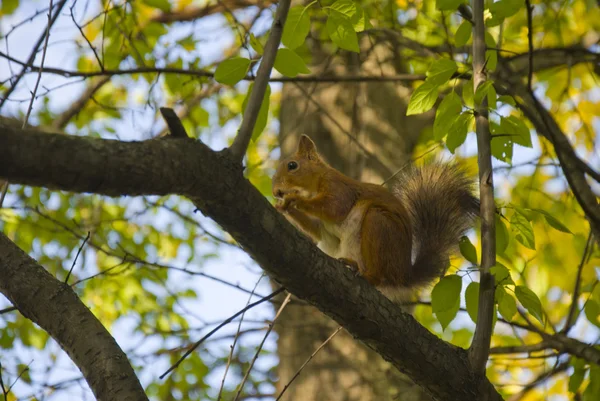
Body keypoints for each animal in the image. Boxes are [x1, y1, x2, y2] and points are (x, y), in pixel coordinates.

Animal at [272, 134, 478, 300]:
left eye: (292, 165)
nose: (276, 192)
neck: (314, 185)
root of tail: (403, 275)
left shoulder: (339, 189)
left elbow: (334, 208)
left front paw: (294, 199)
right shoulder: (321, 225)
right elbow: (316, 229)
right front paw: (283, 207)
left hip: (378, 225)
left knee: (379, 277)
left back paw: (364, 274)